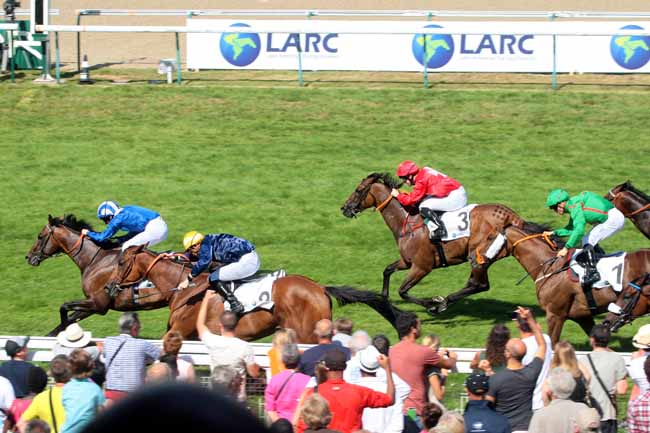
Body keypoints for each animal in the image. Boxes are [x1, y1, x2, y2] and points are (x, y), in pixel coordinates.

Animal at [25, 215, 178, 337]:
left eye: (40, 236)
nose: (28, 257)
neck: (95, 259)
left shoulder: (98, 304)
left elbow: (64, 307)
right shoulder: (92, 303)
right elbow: (67, 319)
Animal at [105, 244, 401, 342]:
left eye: (121, 262)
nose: (108, 287)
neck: (185, 289)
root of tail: (319, 288)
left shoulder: (179, 331)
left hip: (306, 334)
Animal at [340, 172, 525, 313]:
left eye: (358, 190)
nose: (344, 208)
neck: (407, 223)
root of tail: (512, 216)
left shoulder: (422, 267)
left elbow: (403, 291)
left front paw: (431, 303)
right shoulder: (408, 262)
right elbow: (387, 270)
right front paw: (384, 298)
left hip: (479, 256)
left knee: (481, 284)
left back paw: (443, 302)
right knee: (476, 284)